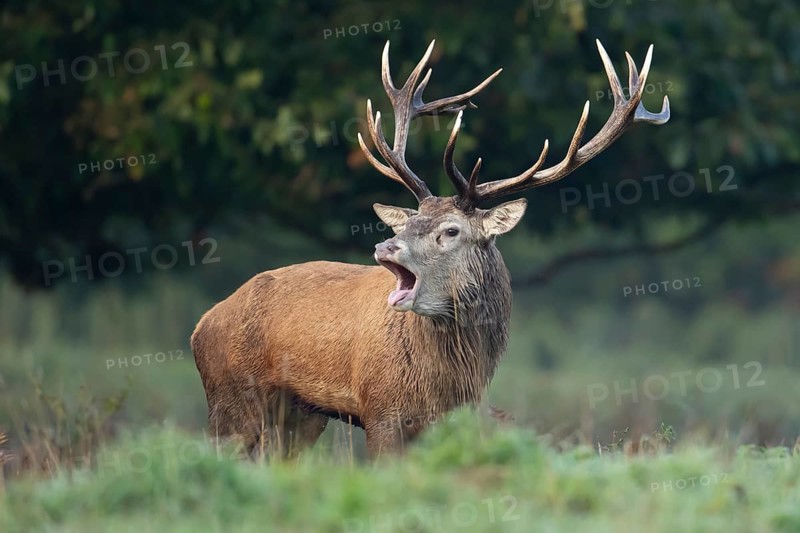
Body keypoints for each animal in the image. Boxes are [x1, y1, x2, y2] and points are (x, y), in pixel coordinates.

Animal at [190, 39, 670, 458]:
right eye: (409, 222)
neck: (446, 383)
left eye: (451, 230)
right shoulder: (380, 409)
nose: (385, 246)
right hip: (230, 402)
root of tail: (201, 326)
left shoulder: (454, 417)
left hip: (299, 415)